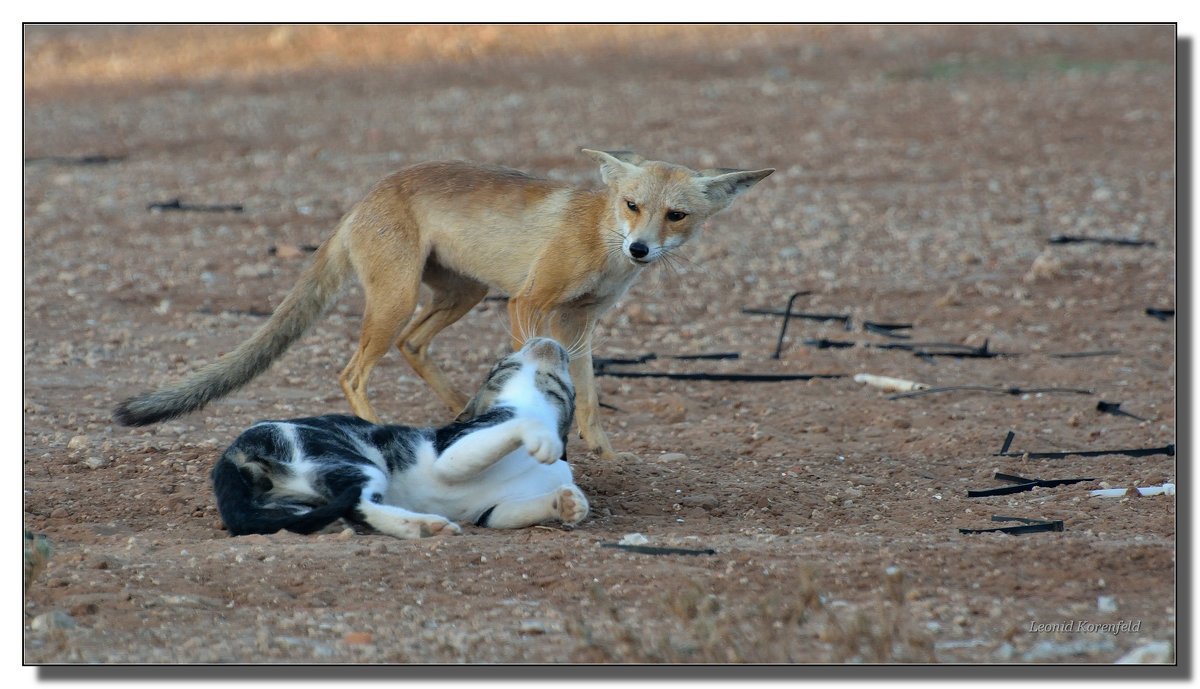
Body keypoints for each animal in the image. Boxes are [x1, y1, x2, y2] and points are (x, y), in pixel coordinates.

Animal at [110, 149, 768, 460]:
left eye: (675, 215)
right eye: (632, 205)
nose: (639, 248)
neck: (600, 240)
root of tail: (365, 198)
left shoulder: (581, 324)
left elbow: (589, 400)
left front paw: (605, 453)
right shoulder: (529, 303)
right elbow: (536, 369)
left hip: (462, 294)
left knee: (413, 345)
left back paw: (460, 412)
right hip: (400, 300)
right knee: (352, 371)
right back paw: (382, 428)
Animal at [217, 338, 595, 540]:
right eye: (505, 362)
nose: (541, 340)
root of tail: (232, 452)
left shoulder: (491, 511)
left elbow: (516, 509)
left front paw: (568, 503)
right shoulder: (452, 451)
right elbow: (520, 425)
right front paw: (541, 438)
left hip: (288, 503)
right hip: (352, 462)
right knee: (361, 503)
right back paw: (425, 526)